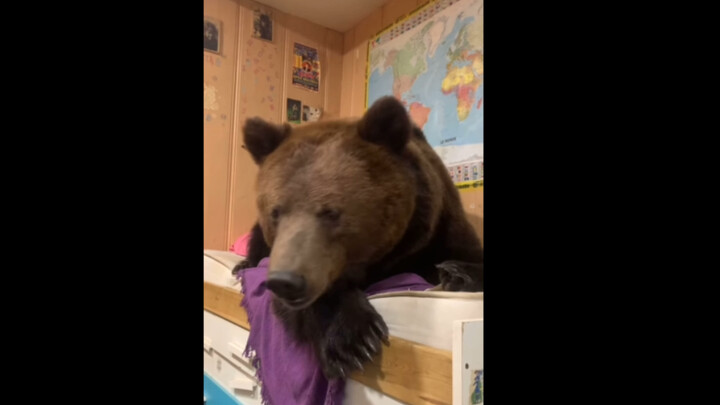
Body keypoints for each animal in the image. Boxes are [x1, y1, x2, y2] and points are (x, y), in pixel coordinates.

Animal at [233, 96, 483, 379]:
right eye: (275, 212)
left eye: (331, 212)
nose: (286, 281)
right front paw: (352, 341)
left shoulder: (441, 227)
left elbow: (467, 254)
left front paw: (456, 272)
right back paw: (242, 264)